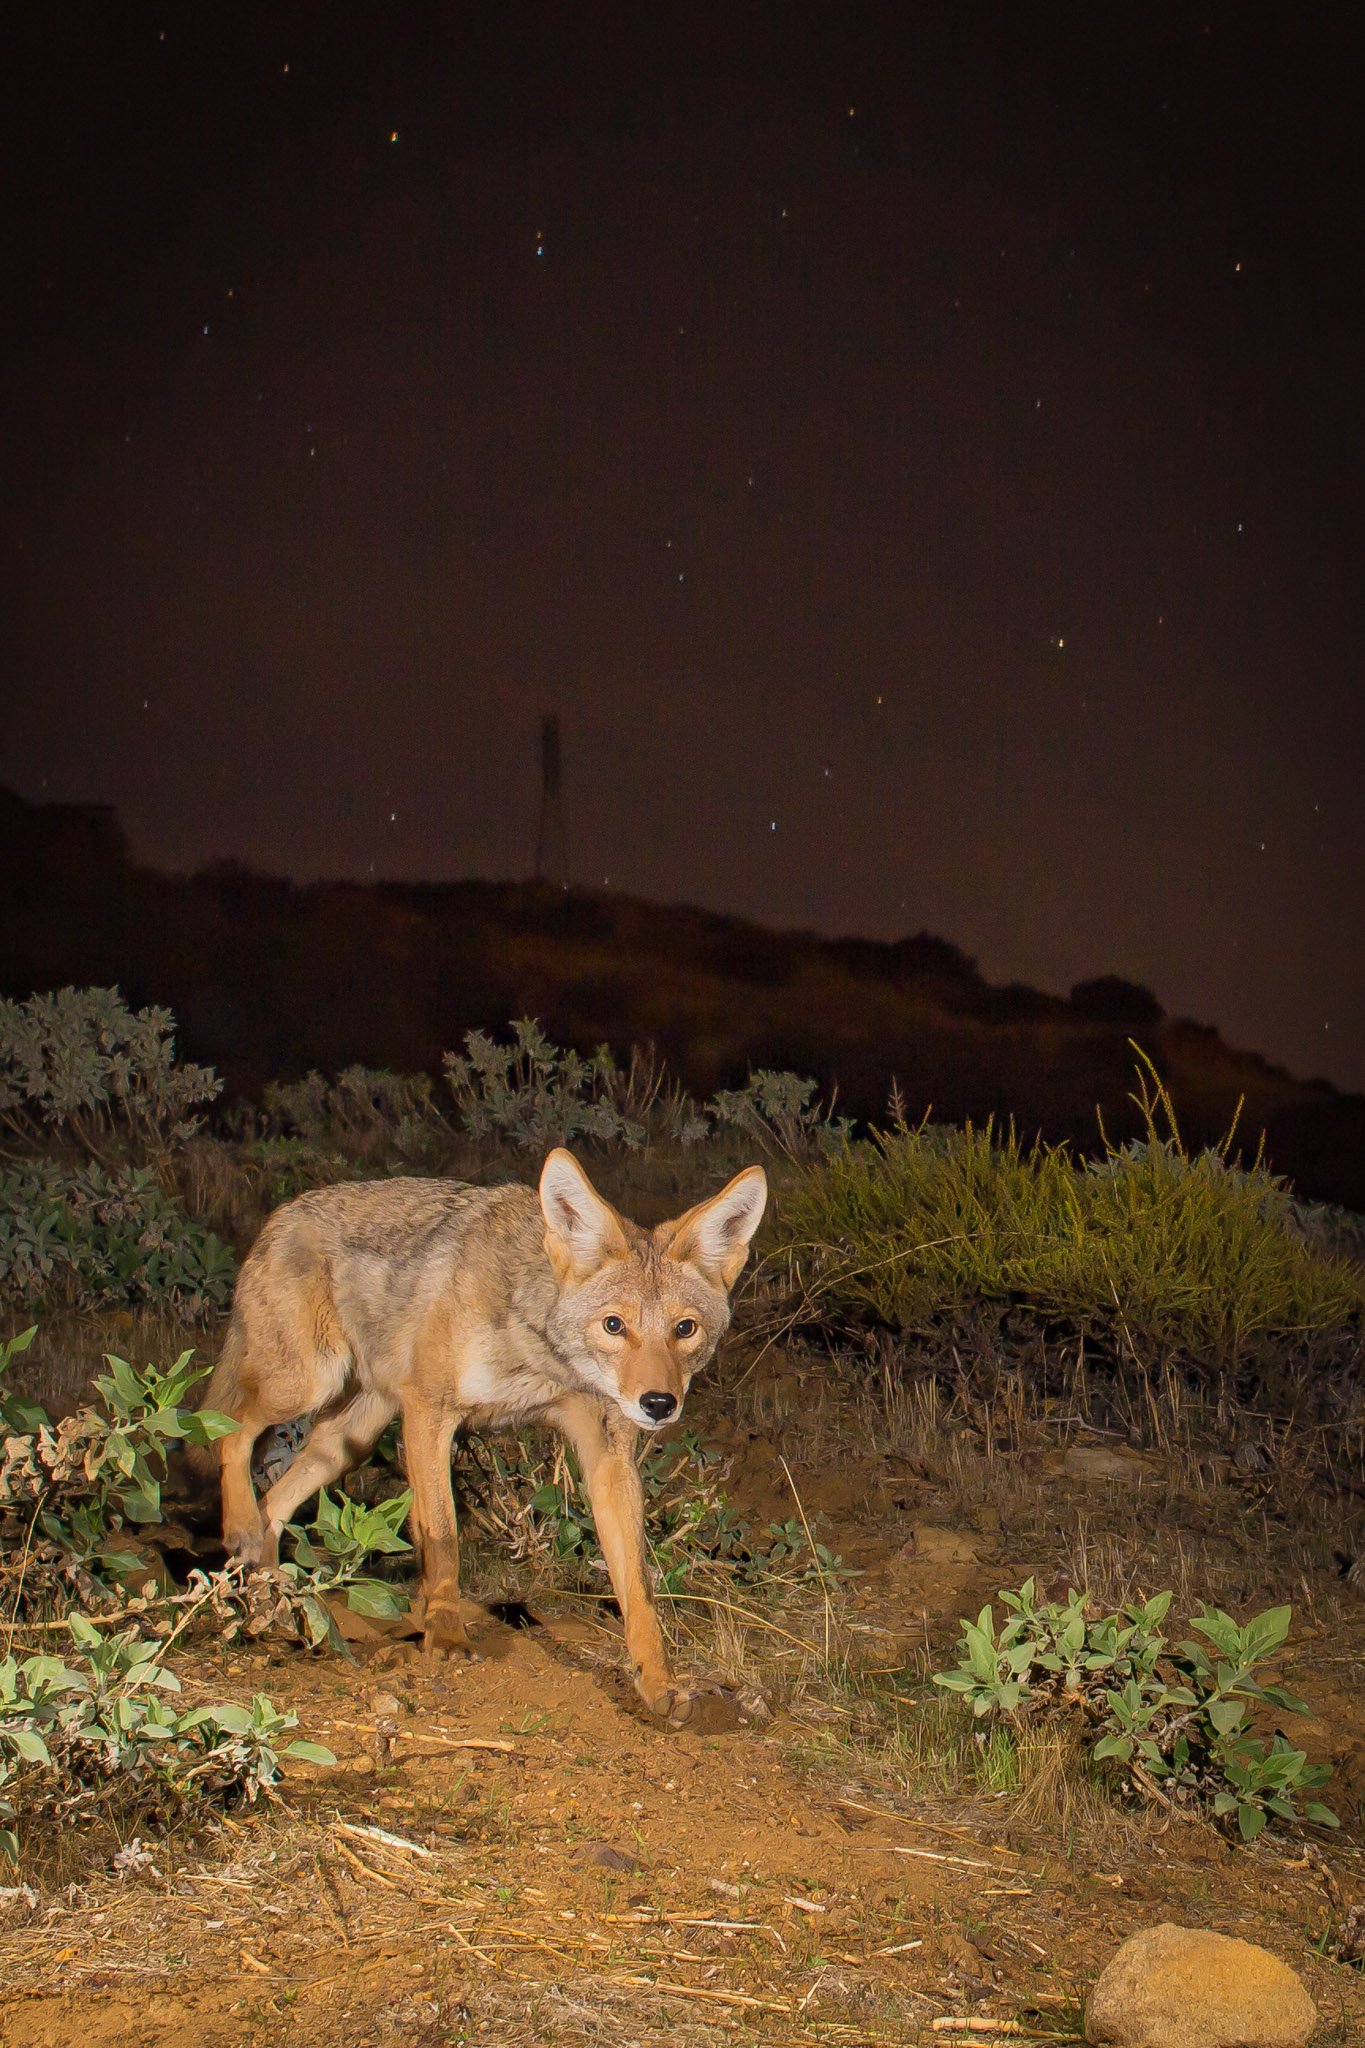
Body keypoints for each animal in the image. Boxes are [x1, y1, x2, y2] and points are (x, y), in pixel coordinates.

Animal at [198, 1149, 767, 1726]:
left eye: (685, 1330)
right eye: (613, 1326)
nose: (658, 1404)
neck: (539, 1357)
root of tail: (282, 1213)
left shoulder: (608, 1454)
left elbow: (638, 1588)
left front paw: (659, 1683)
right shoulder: (429, 1411)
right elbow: (443, 1538)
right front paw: (446, 1635)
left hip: (349, 1437)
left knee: (273, 1504)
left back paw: (273, 1606)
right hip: (307, 1385)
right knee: (222, 1430)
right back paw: (242, 1536)